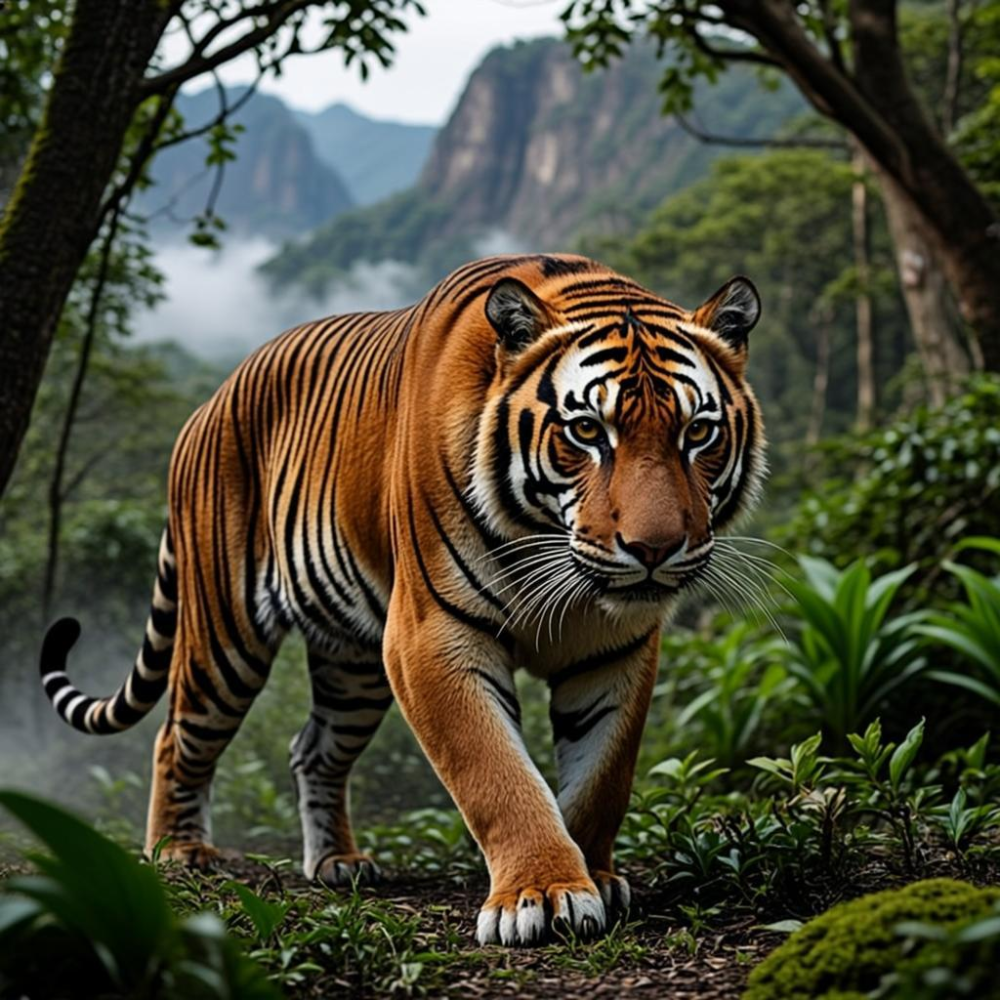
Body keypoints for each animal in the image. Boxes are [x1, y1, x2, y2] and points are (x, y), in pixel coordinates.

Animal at [39, 253, 764, 946]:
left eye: (697, 433)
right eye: (587, 431)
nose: (654, 549)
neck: (552, 549)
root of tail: (205, 405)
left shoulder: (616, 648)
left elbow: (601, 778)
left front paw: (595, 876)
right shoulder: (432, 636)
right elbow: (496, 774)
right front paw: (543, 894)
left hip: (352, 667)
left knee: (312, 749)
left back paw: (338, 863)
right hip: (224, 639)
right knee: (176, 738)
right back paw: (178, 852)